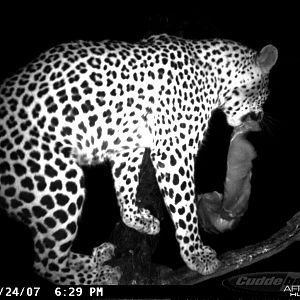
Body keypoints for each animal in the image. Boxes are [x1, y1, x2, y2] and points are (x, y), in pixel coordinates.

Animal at [0, 34, 276, 284]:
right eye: (265, 94)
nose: (261, 117)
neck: (213, 74)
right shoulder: (175, 150)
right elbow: (185, 208)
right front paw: (196, 254)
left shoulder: (128, 145)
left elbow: (126, 182)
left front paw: (135, 218)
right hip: (59, 181)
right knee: (46, 263)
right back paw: (98, 275)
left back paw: (94, 257)